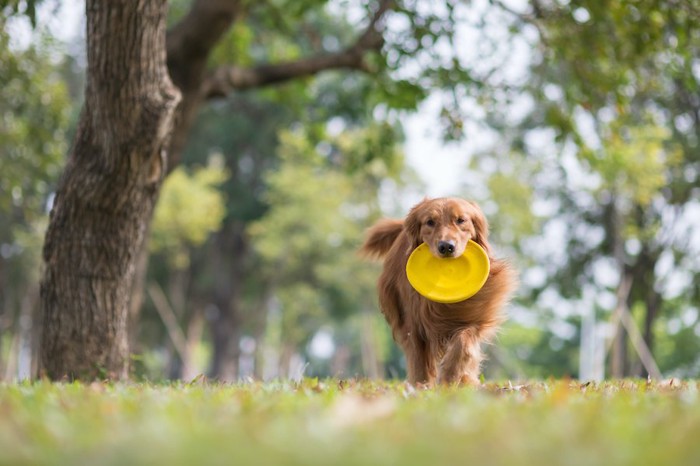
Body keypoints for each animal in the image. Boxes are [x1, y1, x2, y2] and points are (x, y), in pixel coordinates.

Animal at [364, 198, 516, 386]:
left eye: (461, 220)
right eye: (430, 222)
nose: (446, 247)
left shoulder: (473, 316)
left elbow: (463, 345)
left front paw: (450, 376)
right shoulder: (414, 323)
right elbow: (418, 359)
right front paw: (421, 385)